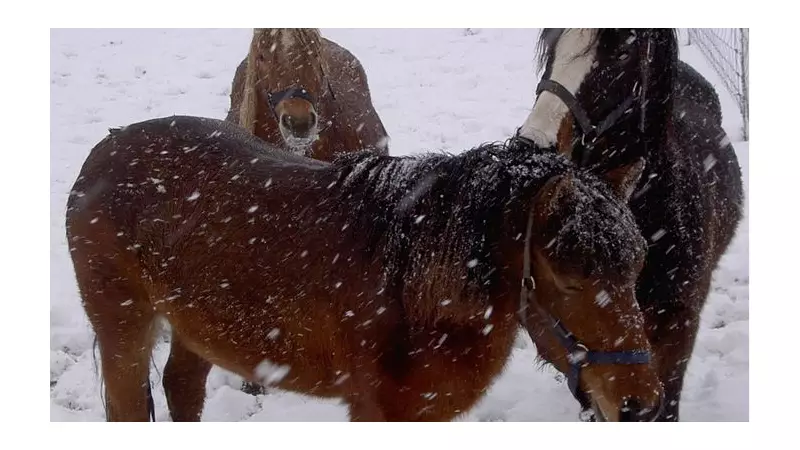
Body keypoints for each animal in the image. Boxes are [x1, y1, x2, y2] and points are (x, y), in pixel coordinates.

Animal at [66, 114, 664, 422]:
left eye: (636, 271)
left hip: (198, 327)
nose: (644, 406)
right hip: (124, 331)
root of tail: (103, 152)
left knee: (183, 388)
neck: (413, 289)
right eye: (571, 278)